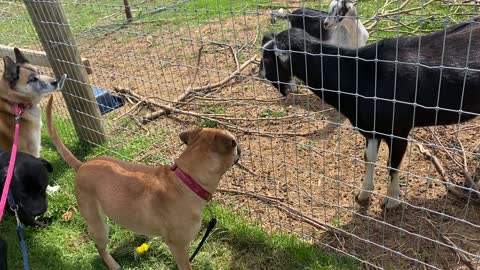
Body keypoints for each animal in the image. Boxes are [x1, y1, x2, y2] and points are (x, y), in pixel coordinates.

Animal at [46, 95, 240, 270]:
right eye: (235, 143)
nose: (241, 149)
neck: (186, 179)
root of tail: (81, 165)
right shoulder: (178, 247)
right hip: (98, 224)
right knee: (99, 247)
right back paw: (112, 264)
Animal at [258, 20, 480, 210]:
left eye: (268, 58)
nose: (260, 75)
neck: (363, 74)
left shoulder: (399, 130)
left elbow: (392, 165)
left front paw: (391, 200)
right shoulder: (370, 128)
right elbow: (369, 158)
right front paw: (364, 194)